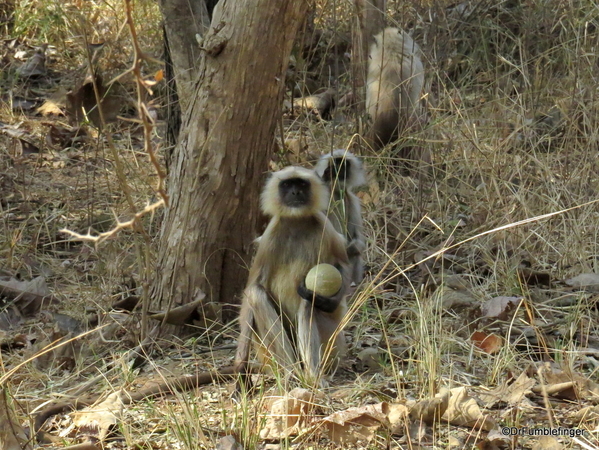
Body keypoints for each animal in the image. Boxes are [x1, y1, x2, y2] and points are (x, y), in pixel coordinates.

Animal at [233, 167, 350, 384]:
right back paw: (291, 373)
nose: (295, 192)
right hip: (265, 353)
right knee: (256, 294)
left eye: (301, 184)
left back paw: (312, 375)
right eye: (287, 185)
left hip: (333, 342)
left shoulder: (324, 226)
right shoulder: (270, 236)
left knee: (308, 300)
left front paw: (329, 302)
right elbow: (252, 287)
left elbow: (344, 266)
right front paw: (240, 363)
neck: (296, 222)